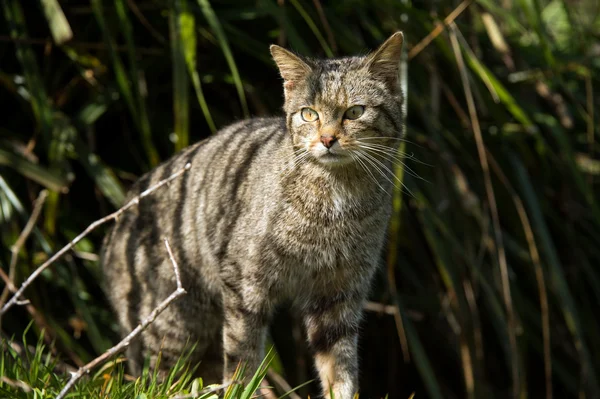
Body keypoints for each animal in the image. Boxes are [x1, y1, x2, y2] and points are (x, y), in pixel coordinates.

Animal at [101, 32, 406, 399]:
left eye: (355, 111)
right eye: (309, 114)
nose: (327, 139)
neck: (336, 200)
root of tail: (116, 225)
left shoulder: (340, 292)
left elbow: (340, 366)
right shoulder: (244, 282)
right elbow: (241, 356)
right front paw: (241, 388)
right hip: (171, 326)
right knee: (153, 378)